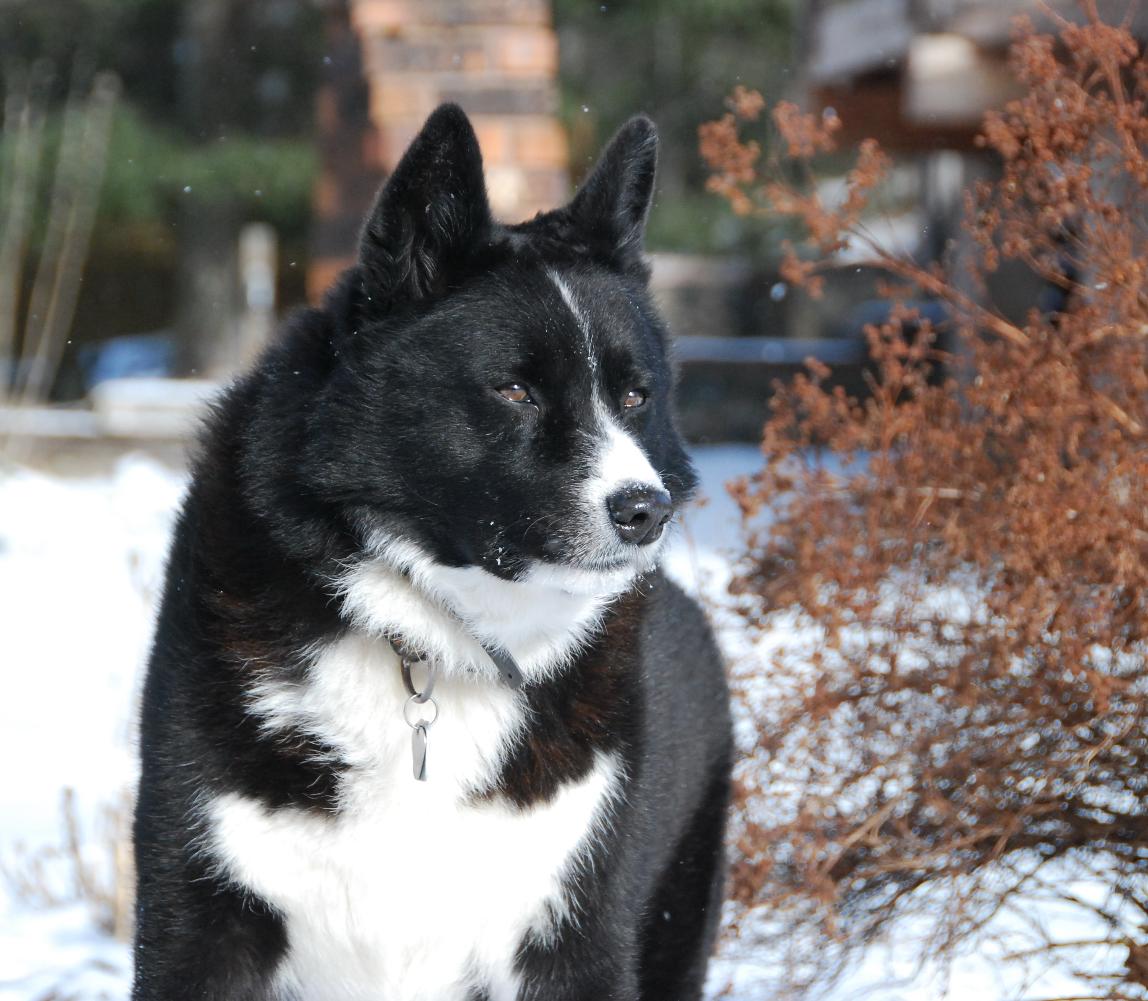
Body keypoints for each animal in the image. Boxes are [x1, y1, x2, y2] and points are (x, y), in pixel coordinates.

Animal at [132, 103, 725, 1001]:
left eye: (634, 396)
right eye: (514, 390)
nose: (644, 511)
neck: (430, 639)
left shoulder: (572, 937)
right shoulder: (197, 921)